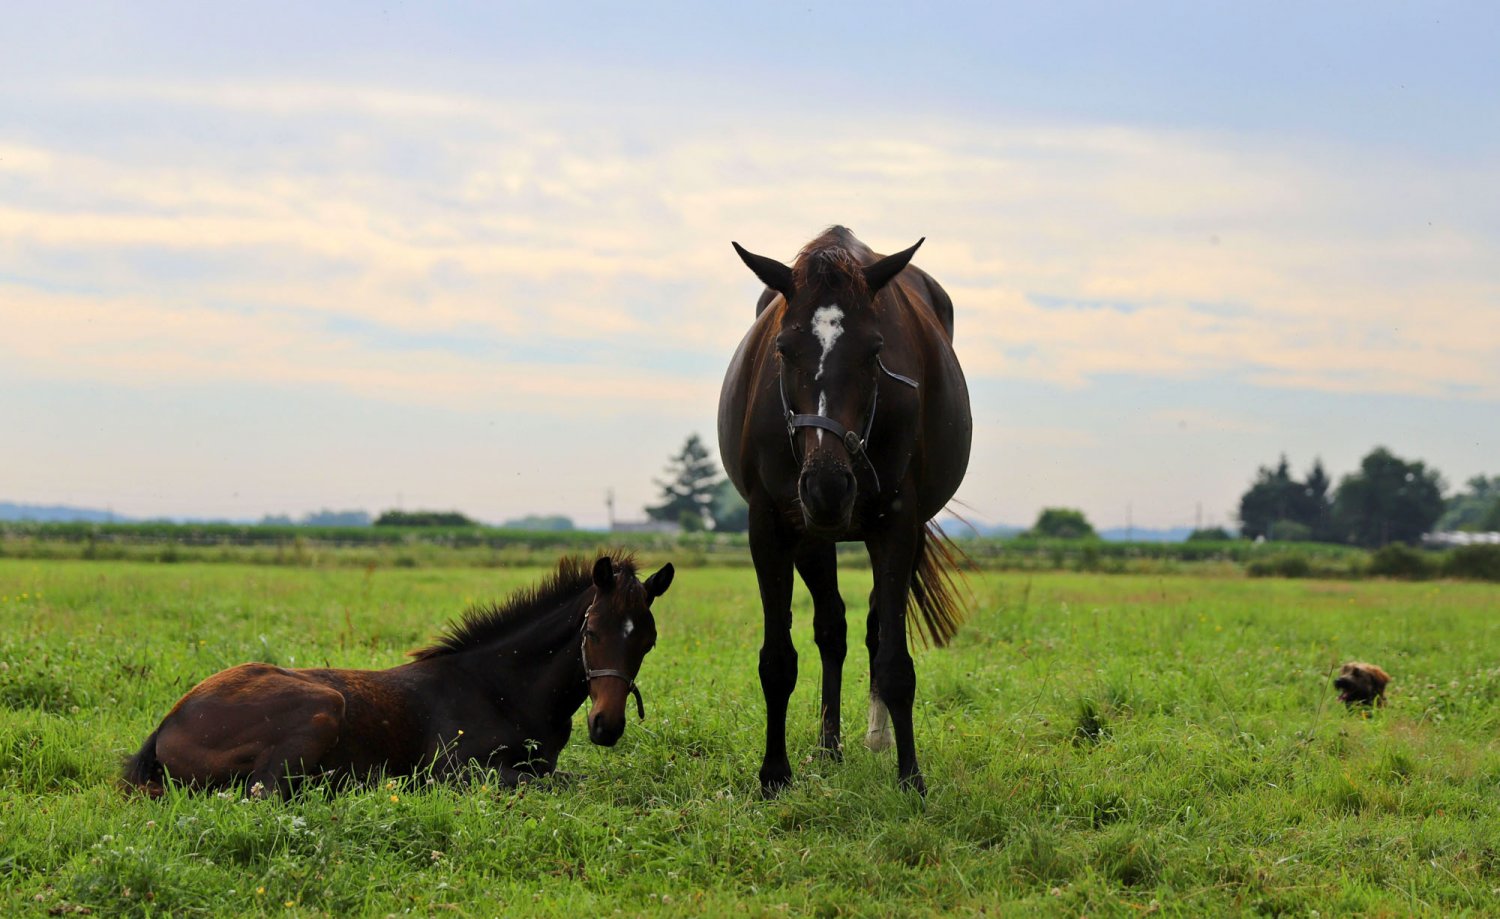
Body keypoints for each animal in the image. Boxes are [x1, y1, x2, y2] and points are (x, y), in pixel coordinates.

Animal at [122, 553, 674, 797]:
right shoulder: (456, 771)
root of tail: (167, 724)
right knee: (263, 793)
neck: (502, 689)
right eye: (592, 632)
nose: (607, 726)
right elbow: (560, 786)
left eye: (647, 641)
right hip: (324, 708)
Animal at [719, 226, 971, 795]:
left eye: (875, 350)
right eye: (783, 348)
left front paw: (911, 778)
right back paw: (828, 746)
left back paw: (876, 738)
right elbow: (778, 660)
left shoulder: (898, 523)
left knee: (876, 627)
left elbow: (895, 660)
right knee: (832, 628)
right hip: (813, 538)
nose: (827, 488)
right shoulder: (771, 525)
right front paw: (774, 773)